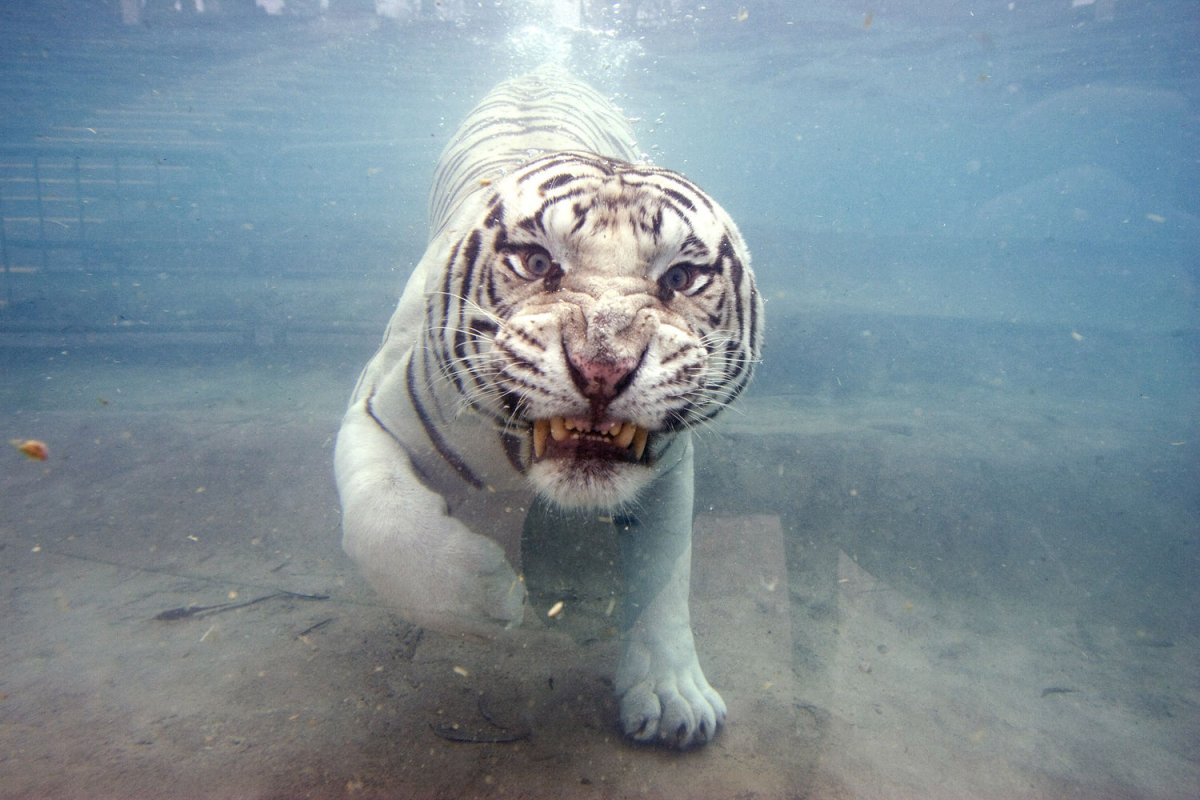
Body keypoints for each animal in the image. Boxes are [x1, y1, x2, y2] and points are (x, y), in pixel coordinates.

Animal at [334, 67, 762, 749]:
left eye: (681, 278)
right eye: (536, 262)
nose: (603, 365)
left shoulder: (668, 465)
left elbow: (662, 576)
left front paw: (673, 695)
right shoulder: (375, 409)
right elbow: (380, 520)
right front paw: (485, 597)